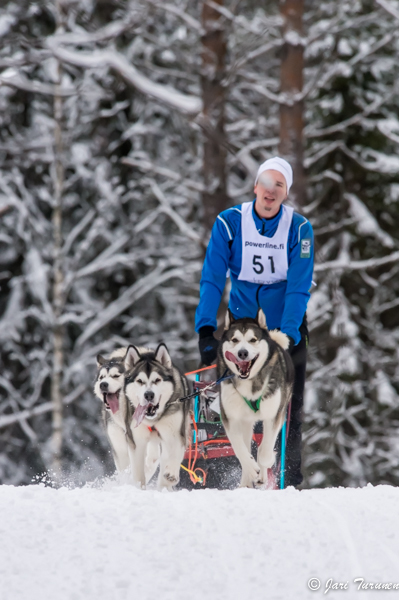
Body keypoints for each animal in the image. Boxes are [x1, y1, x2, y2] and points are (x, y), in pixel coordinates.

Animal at [125, 344, 191, 490]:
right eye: (140, 381)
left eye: (157, 380)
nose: (149, 395)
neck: (153, 420)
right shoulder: (136, 439)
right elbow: (138, 471)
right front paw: (139, 487)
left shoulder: (174, 433)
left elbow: (174, 454)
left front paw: (171, 474)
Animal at [217, 310, 296, 488]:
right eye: (234, 340)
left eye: (253, 340)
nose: (243, 353)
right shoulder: (230, 417)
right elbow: (240, 448)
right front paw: (251, 468)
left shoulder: (274, 416)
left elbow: (265, 451)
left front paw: (264, 467)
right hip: (246, 422)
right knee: (246, 445)